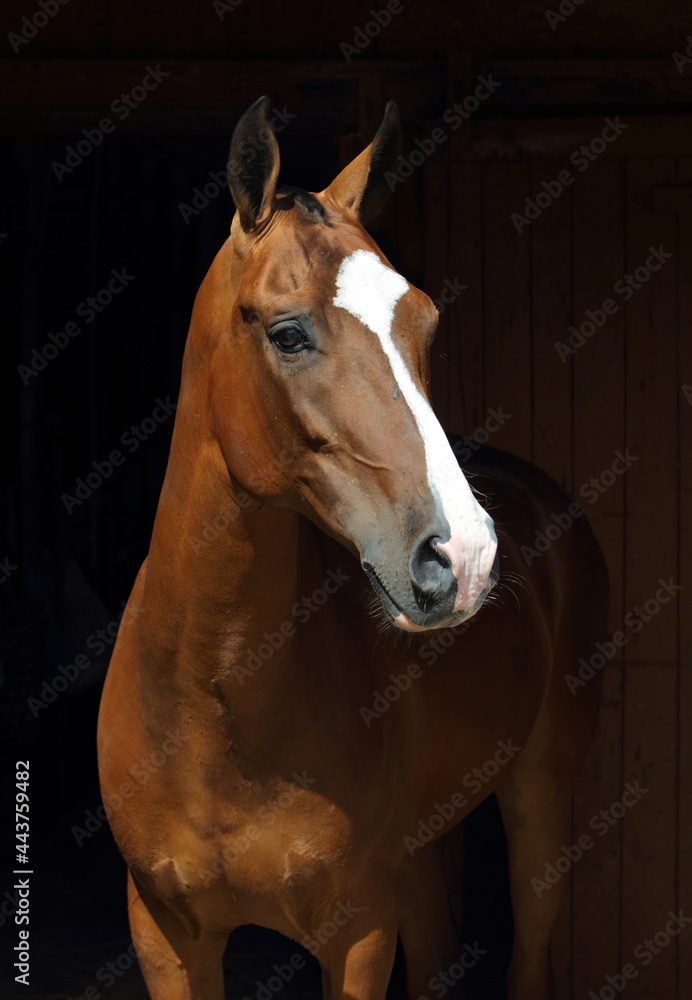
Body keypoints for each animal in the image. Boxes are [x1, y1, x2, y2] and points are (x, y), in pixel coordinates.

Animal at [97, 96, 608, 1000]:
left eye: (425, 323)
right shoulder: (164, 937)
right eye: (288, 334)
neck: (211, 706)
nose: (463, 558)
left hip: (538, 802)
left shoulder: (359, 931)